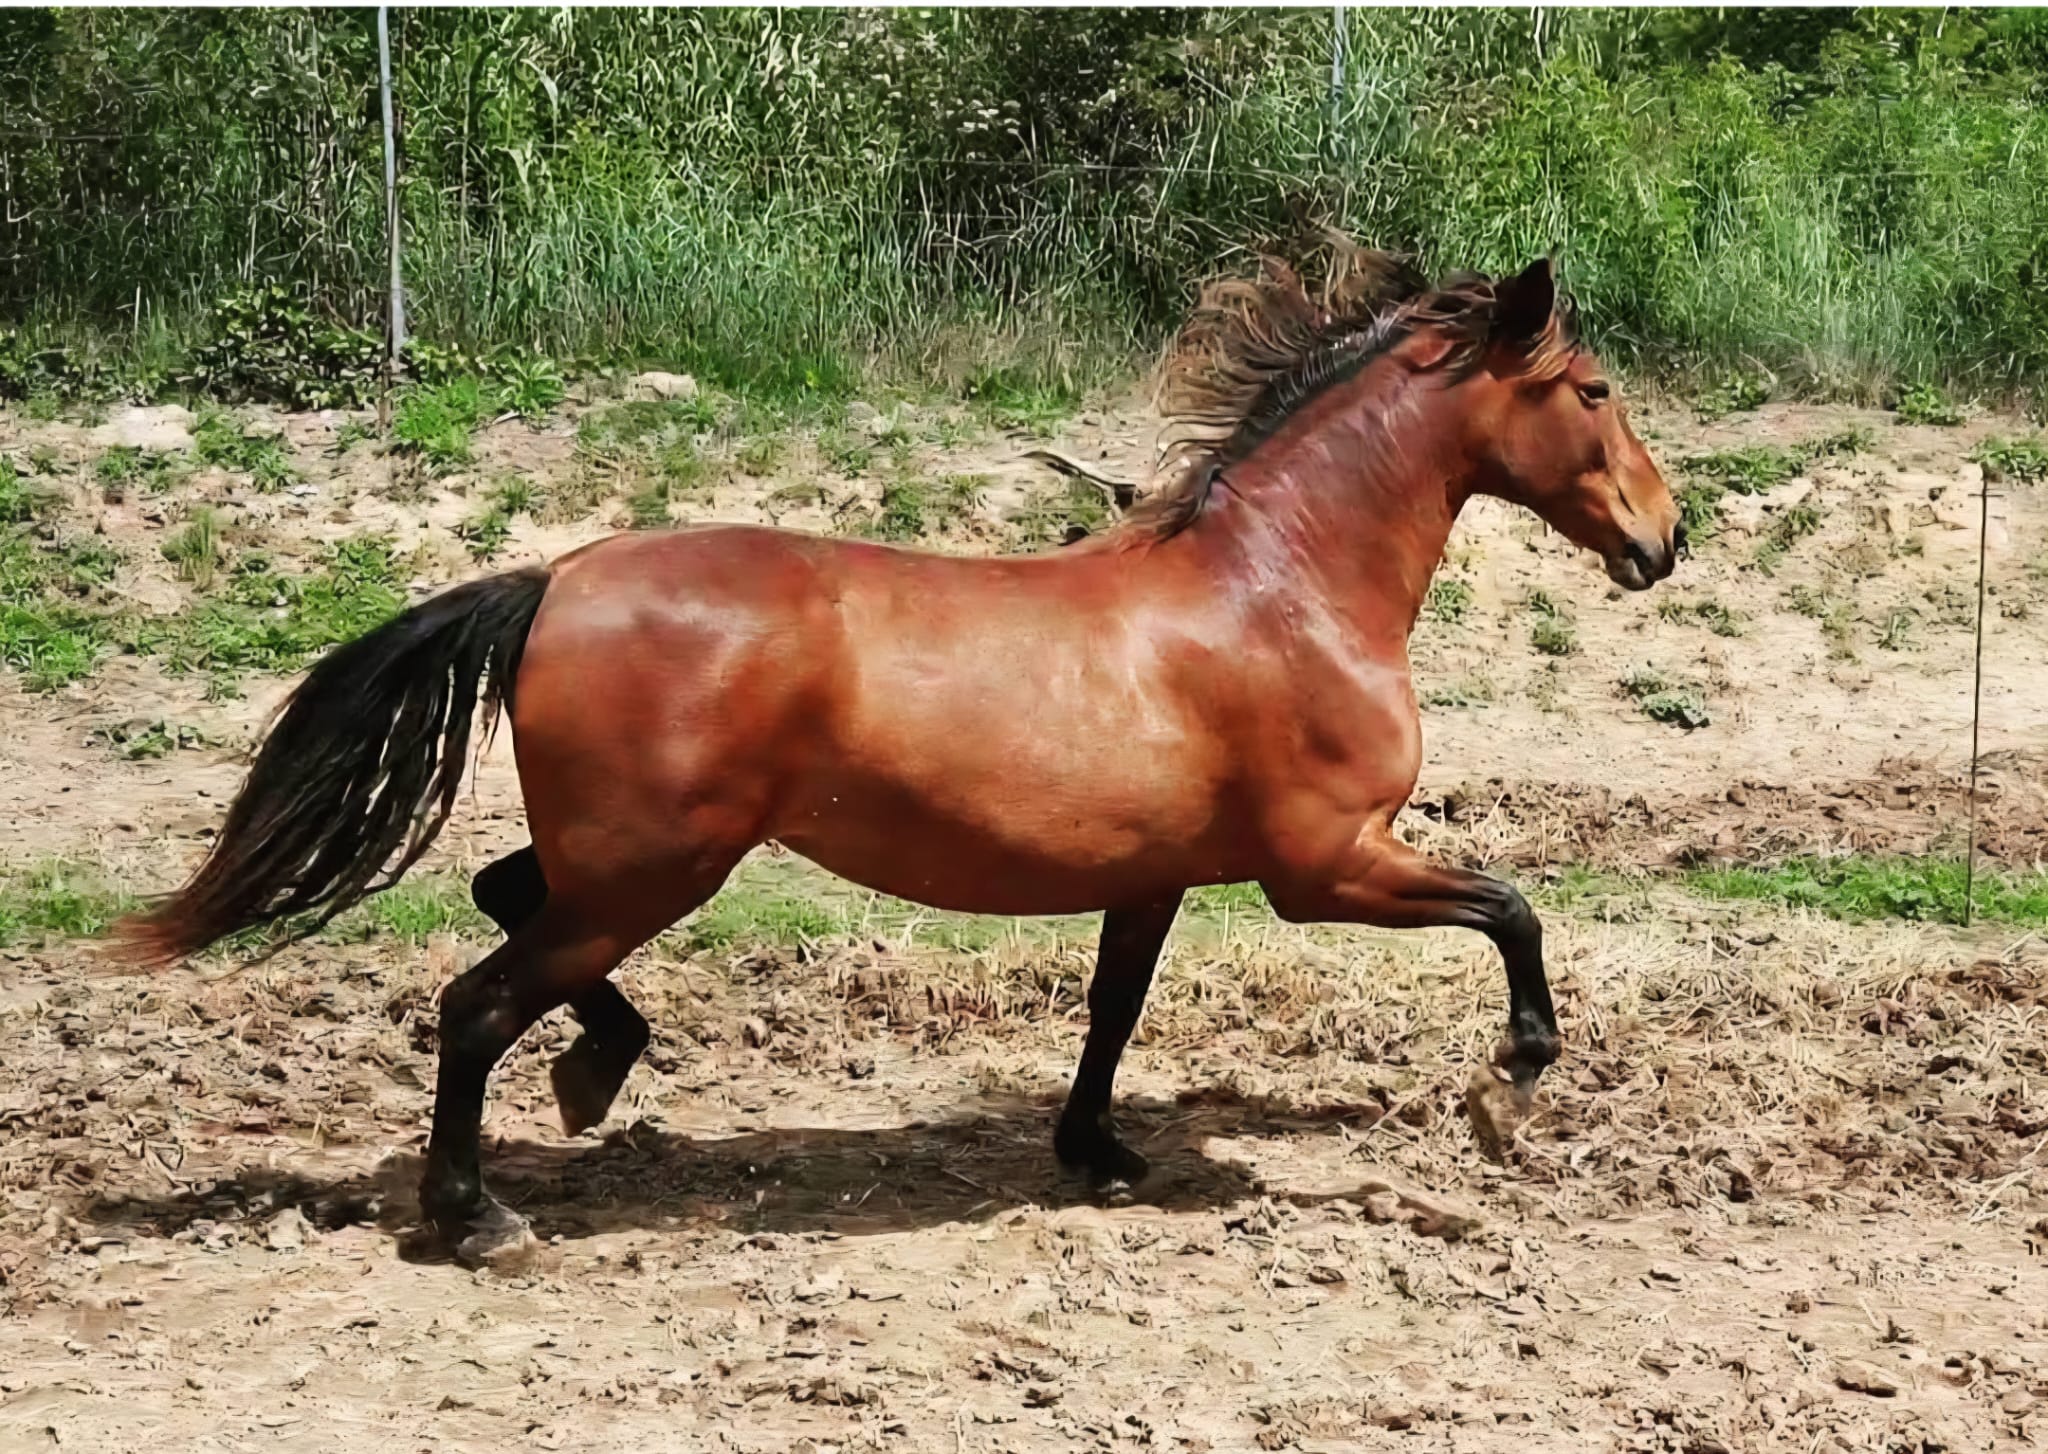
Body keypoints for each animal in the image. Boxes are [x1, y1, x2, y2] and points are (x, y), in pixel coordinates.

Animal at [115, 237, 1681, 1261]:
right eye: (1594, 392)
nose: (1665, 540)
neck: (1279, 588)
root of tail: (552, 578)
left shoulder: (1156, 875)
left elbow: (1112, 1011)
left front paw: (1097, 1152)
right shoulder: (1324, 865)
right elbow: (1511, 906)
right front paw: (1510, 1077)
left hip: (628, 855)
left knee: (511, 911)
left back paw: (596, 1072)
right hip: (659, 863)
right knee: (478, 998)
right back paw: (480, 1210)